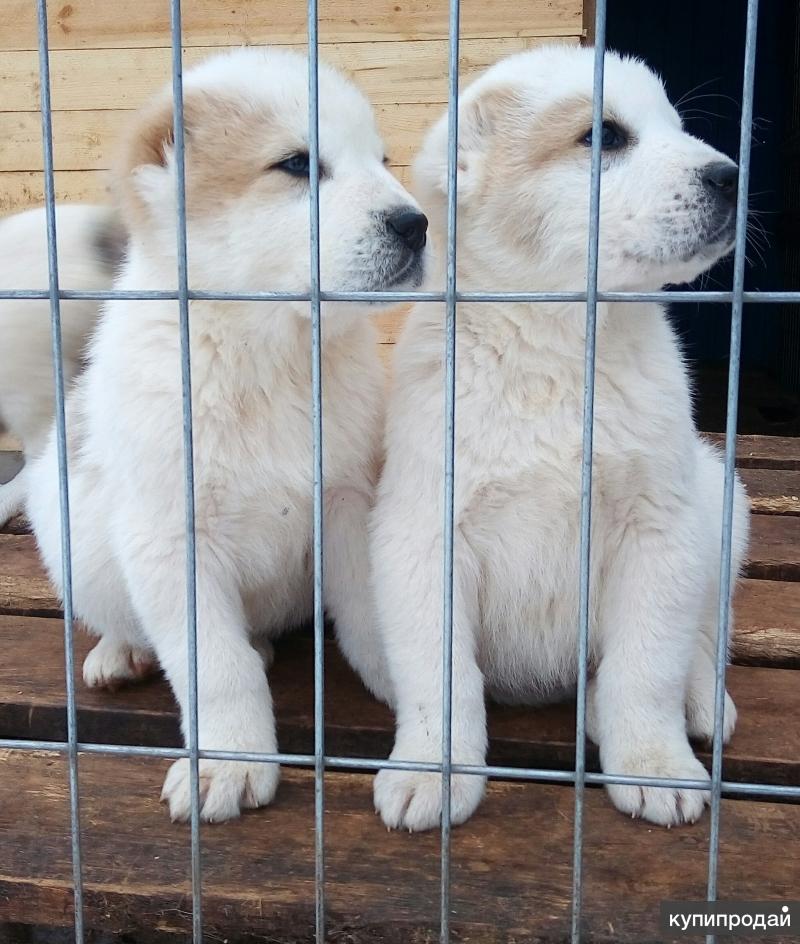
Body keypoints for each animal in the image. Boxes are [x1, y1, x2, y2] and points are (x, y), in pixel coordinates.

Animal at [26, 48, 432, 824]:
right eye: (297, 164)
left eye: (382, 159)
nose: (417, 224)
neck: (268, 354)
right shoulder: (170, 541)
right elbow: (215, 667)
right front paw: (231, 763)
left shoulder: (346, 500)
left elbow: (370, 617)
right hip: (73, 539)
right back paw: (120, 653)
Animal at [374, 44, 752, 828]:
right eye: (604, 136)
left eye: (675, 127)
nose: (730, 175)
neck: (556, 345)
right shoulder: (425, 535)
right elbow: (440, 676)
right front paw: (431, 768)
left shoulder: (660, 531)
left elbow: (646, 666)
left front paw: (653, 763)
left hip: (722, 501)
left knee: (704, 630)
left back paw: (699, 700)